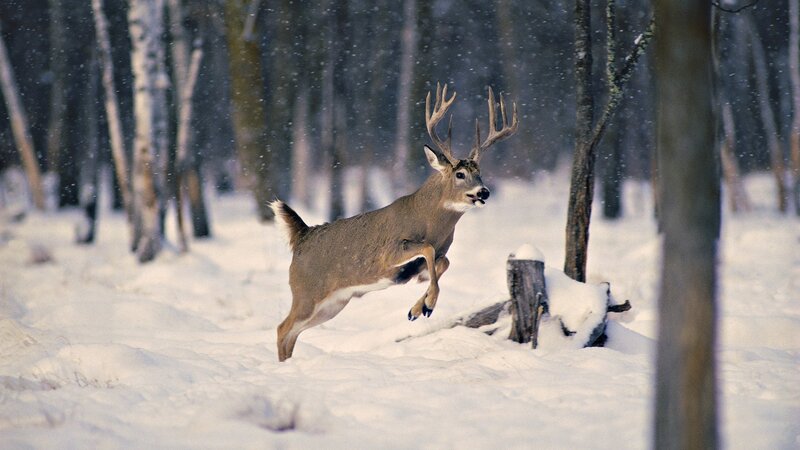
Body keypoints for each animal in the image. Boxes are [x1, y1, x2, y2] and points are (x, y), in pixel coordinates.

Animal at [271, 83, 518, 361]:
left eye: (480, 173)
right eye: (460, 174)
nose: (483, 191)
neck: (430, 222)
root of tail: (302, 235)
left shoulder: (438, 254)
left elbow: (443, 262)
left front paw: (417, 309)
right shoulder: (388, 254)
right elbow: (428, 249)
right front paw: (428, 305)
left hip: (333, 303)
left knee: (292, 332)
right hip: (306, 292)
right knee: (282, 328)